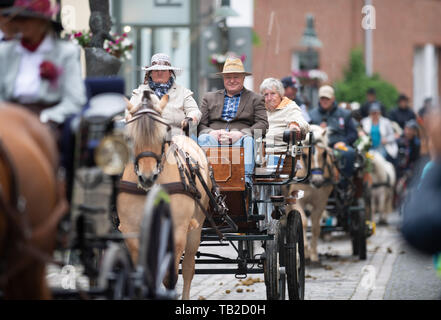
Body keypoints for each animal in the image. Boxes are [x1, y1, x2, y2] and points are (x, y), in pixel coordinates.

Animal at [117, 90, 213, 300]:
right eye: (130, 137)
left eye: (163, 134)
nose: (147, 176)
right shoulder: (132, 230)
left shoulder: (177, 230)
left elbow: (171, 277)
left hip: (195, 229)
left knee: (188, 268)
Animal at [288, 124, 332, 262]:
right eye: (305, 155)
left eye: (324, 154)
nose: (318, 181)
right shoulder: (296, 200)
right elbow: (303, 222)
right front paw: (304, 251)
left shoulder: (321, 203)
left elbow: (315, 227)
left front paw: (313, 253)